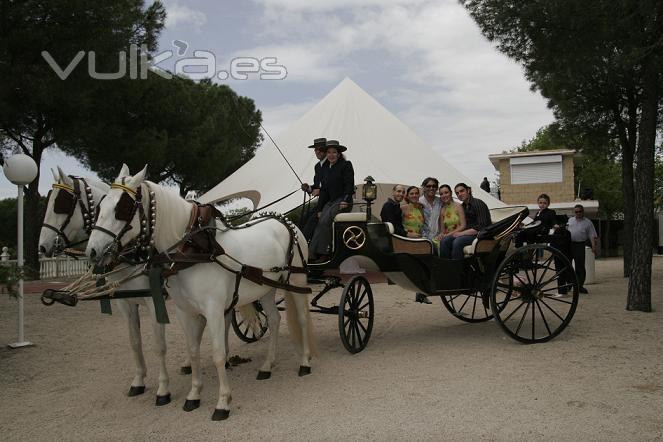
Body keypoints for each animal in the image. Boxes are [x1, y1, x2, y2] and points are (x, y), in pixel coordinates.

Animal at [39, 167, 179, 406]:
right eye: (100, 208)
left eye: (61, 204)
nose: (41, 246)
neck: (133, 253)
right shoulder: (126, 302)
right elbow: (134, 342)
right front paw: (139, 380)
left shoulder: (154, 301)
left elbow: (159, 346)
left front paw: (163, 389)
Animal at [87, 166, 316, 422]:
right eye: (100, 207)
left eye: (122, 208)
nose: (92, 251)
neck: (193, 250)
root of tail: (283, 220)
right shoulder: (183, 311)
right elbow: (193, 350)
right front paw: (194, 394)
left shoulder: (212, 309)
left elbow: (217, 354)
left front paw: (222, 402)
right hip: (265, 288)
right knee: (275, 320)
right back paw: (267, 365)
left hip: (296, 280)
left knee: (303, 319)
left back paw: (305, 362)